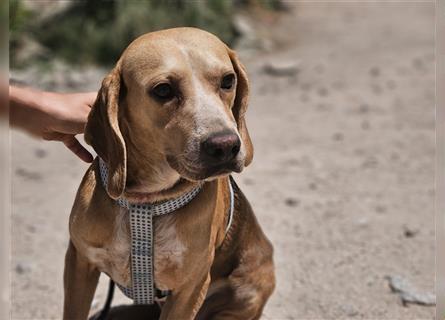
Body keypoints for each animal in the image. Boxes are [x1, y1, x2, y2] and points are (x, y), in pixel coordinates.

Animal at [63, 27, 274, 320]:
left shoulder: (189, 290)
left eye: (228, 81)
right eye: (163, 90)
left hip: (248, 291)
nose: (225, 146)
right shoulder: (79, 263)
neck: (146, 205)